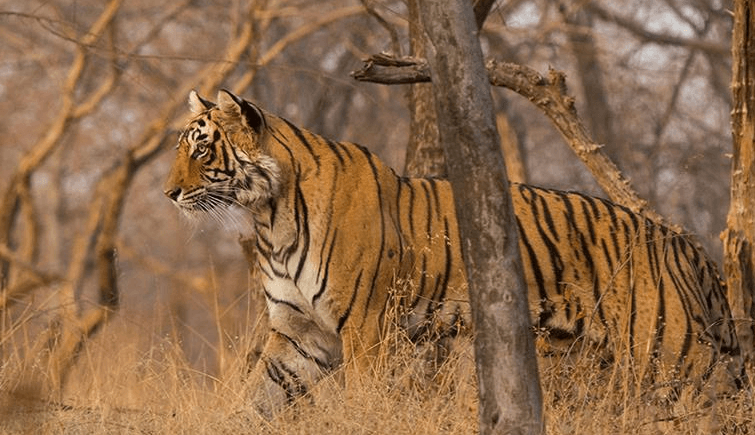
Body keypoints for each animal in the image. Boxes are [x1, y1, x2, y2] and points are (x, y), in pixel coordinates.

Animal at [164, 89, 744, 418]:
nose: (168, 193)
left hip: (673, 355)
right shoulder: (301, 334)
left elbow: (368, 397)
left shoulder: (369, 328)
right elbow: (257, 400)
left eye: (201, 148)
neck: (269, 214)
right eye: (181, 148)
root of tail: (681, 241)